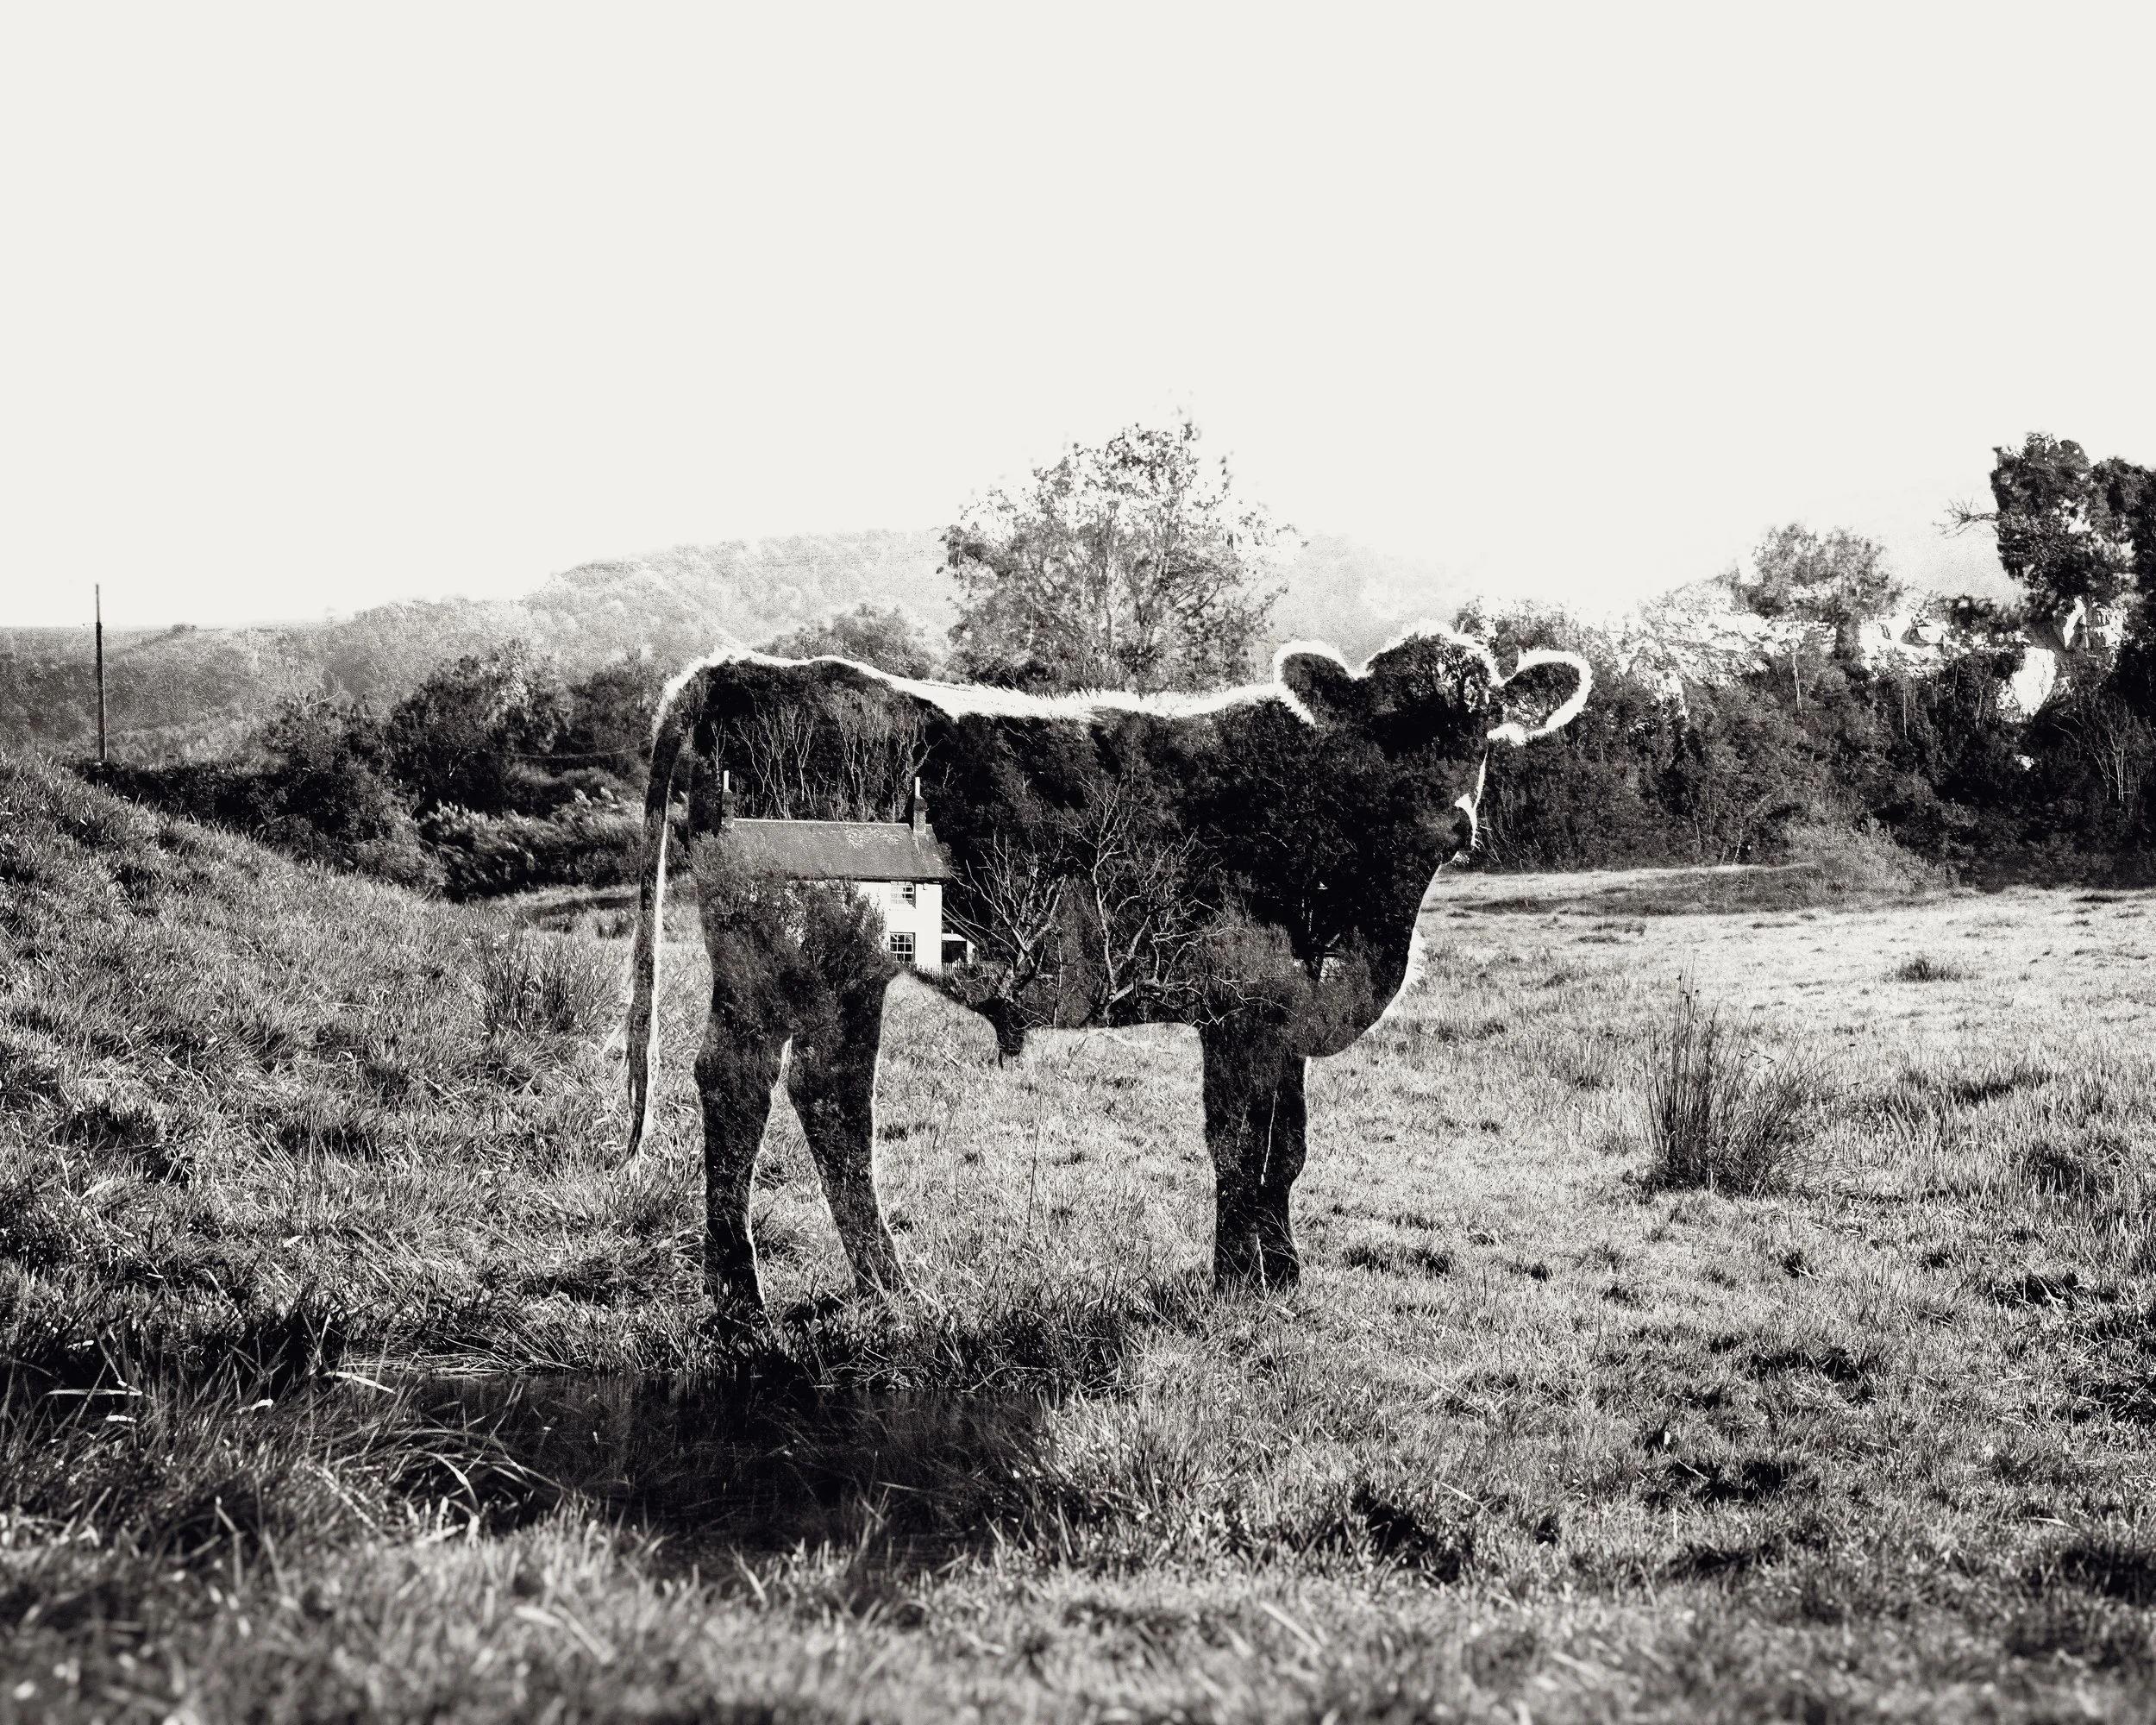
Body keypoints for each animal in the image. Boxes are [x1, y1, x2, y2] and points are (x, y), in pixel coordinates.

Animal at [622, 630, 1590, 1315]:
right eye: (1386, 729)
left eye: (1485, 729)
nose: (1449, 820)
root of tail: (736, 669)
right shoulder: (1235, 1002)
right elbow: (1235, 1145)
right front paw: (1233, 1280)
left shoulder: (1281, 1011)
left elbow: (1288, 1150)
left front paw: (1283, 1271)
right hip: (789, 949)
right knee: (763, 1087)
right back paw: (753, 1296)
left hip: (830, 972)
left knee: (812, 1093)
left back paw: (861, 1284)